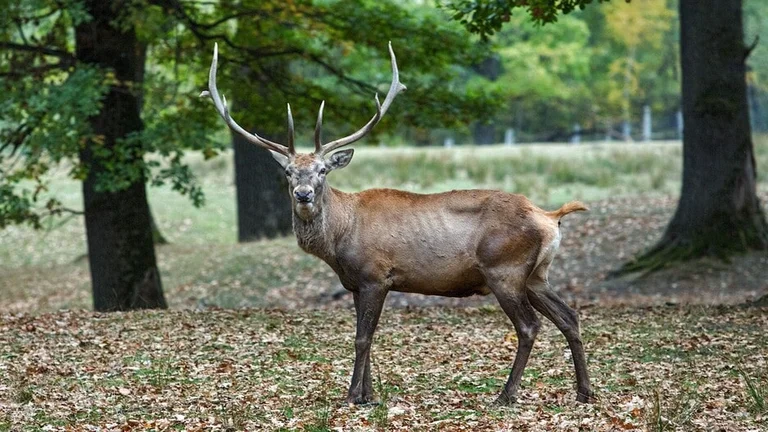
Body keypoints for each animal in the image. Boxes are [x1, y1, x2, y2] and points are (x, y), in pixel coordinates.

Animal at [200, 42, 594, 406]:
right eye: (288, 172)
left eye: (323, 170)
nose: (303, 194)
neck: (339, 241)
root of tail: (550, 217)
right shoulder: (355, 283)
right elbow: (368, 337)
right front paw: (369, 395)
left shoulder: (376, 274)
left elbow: (362, 337)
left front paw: (352, 396)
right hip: (537, 274)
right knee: (569, 317)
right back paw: (584, 392)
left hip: (505, 269)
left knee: (529, 326)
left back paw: (506, 394)